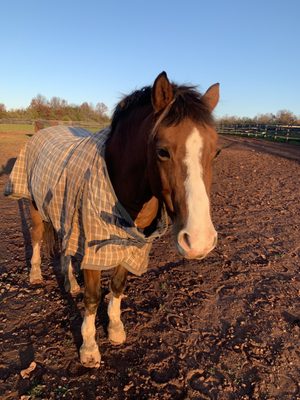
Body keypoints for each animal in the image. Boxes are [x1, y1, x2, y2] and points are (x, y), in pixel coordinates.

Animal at [5, 72, 220, 368]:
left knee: (65, 248)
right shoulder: (94, 246)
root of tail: (42, 131)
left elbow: (117, 286)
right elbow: (93, 297)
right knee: (37, 237)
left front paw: (116, 328)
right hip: (35, 205)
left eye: (216, 152)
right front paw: (89, 348)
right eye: (162, 151)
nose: (199, 241)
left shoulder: (134, 245)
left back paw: (70, 284)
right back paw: (36, 275)